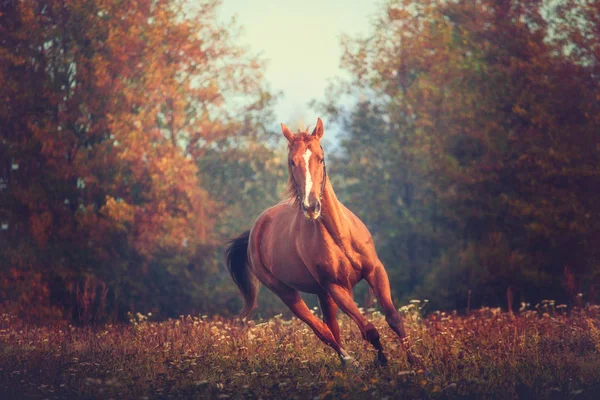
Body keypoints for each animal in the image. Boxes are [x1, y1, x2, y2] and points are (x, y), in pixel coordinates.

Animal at [225, 117, 418, 368]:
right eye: (292, 162)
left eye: (321, 157)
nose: (311, 206)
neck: (340, 237)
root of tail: (255, 232)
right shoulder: (336, 287)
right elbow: (369, 330)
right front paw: (382, 362)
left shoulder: (375, 271)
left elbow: (393, 318)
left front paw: (415, 362)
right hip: (288, 293)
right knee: (323, 331)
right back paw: (351, 362)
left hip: (322, 294)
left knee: (332, 328)